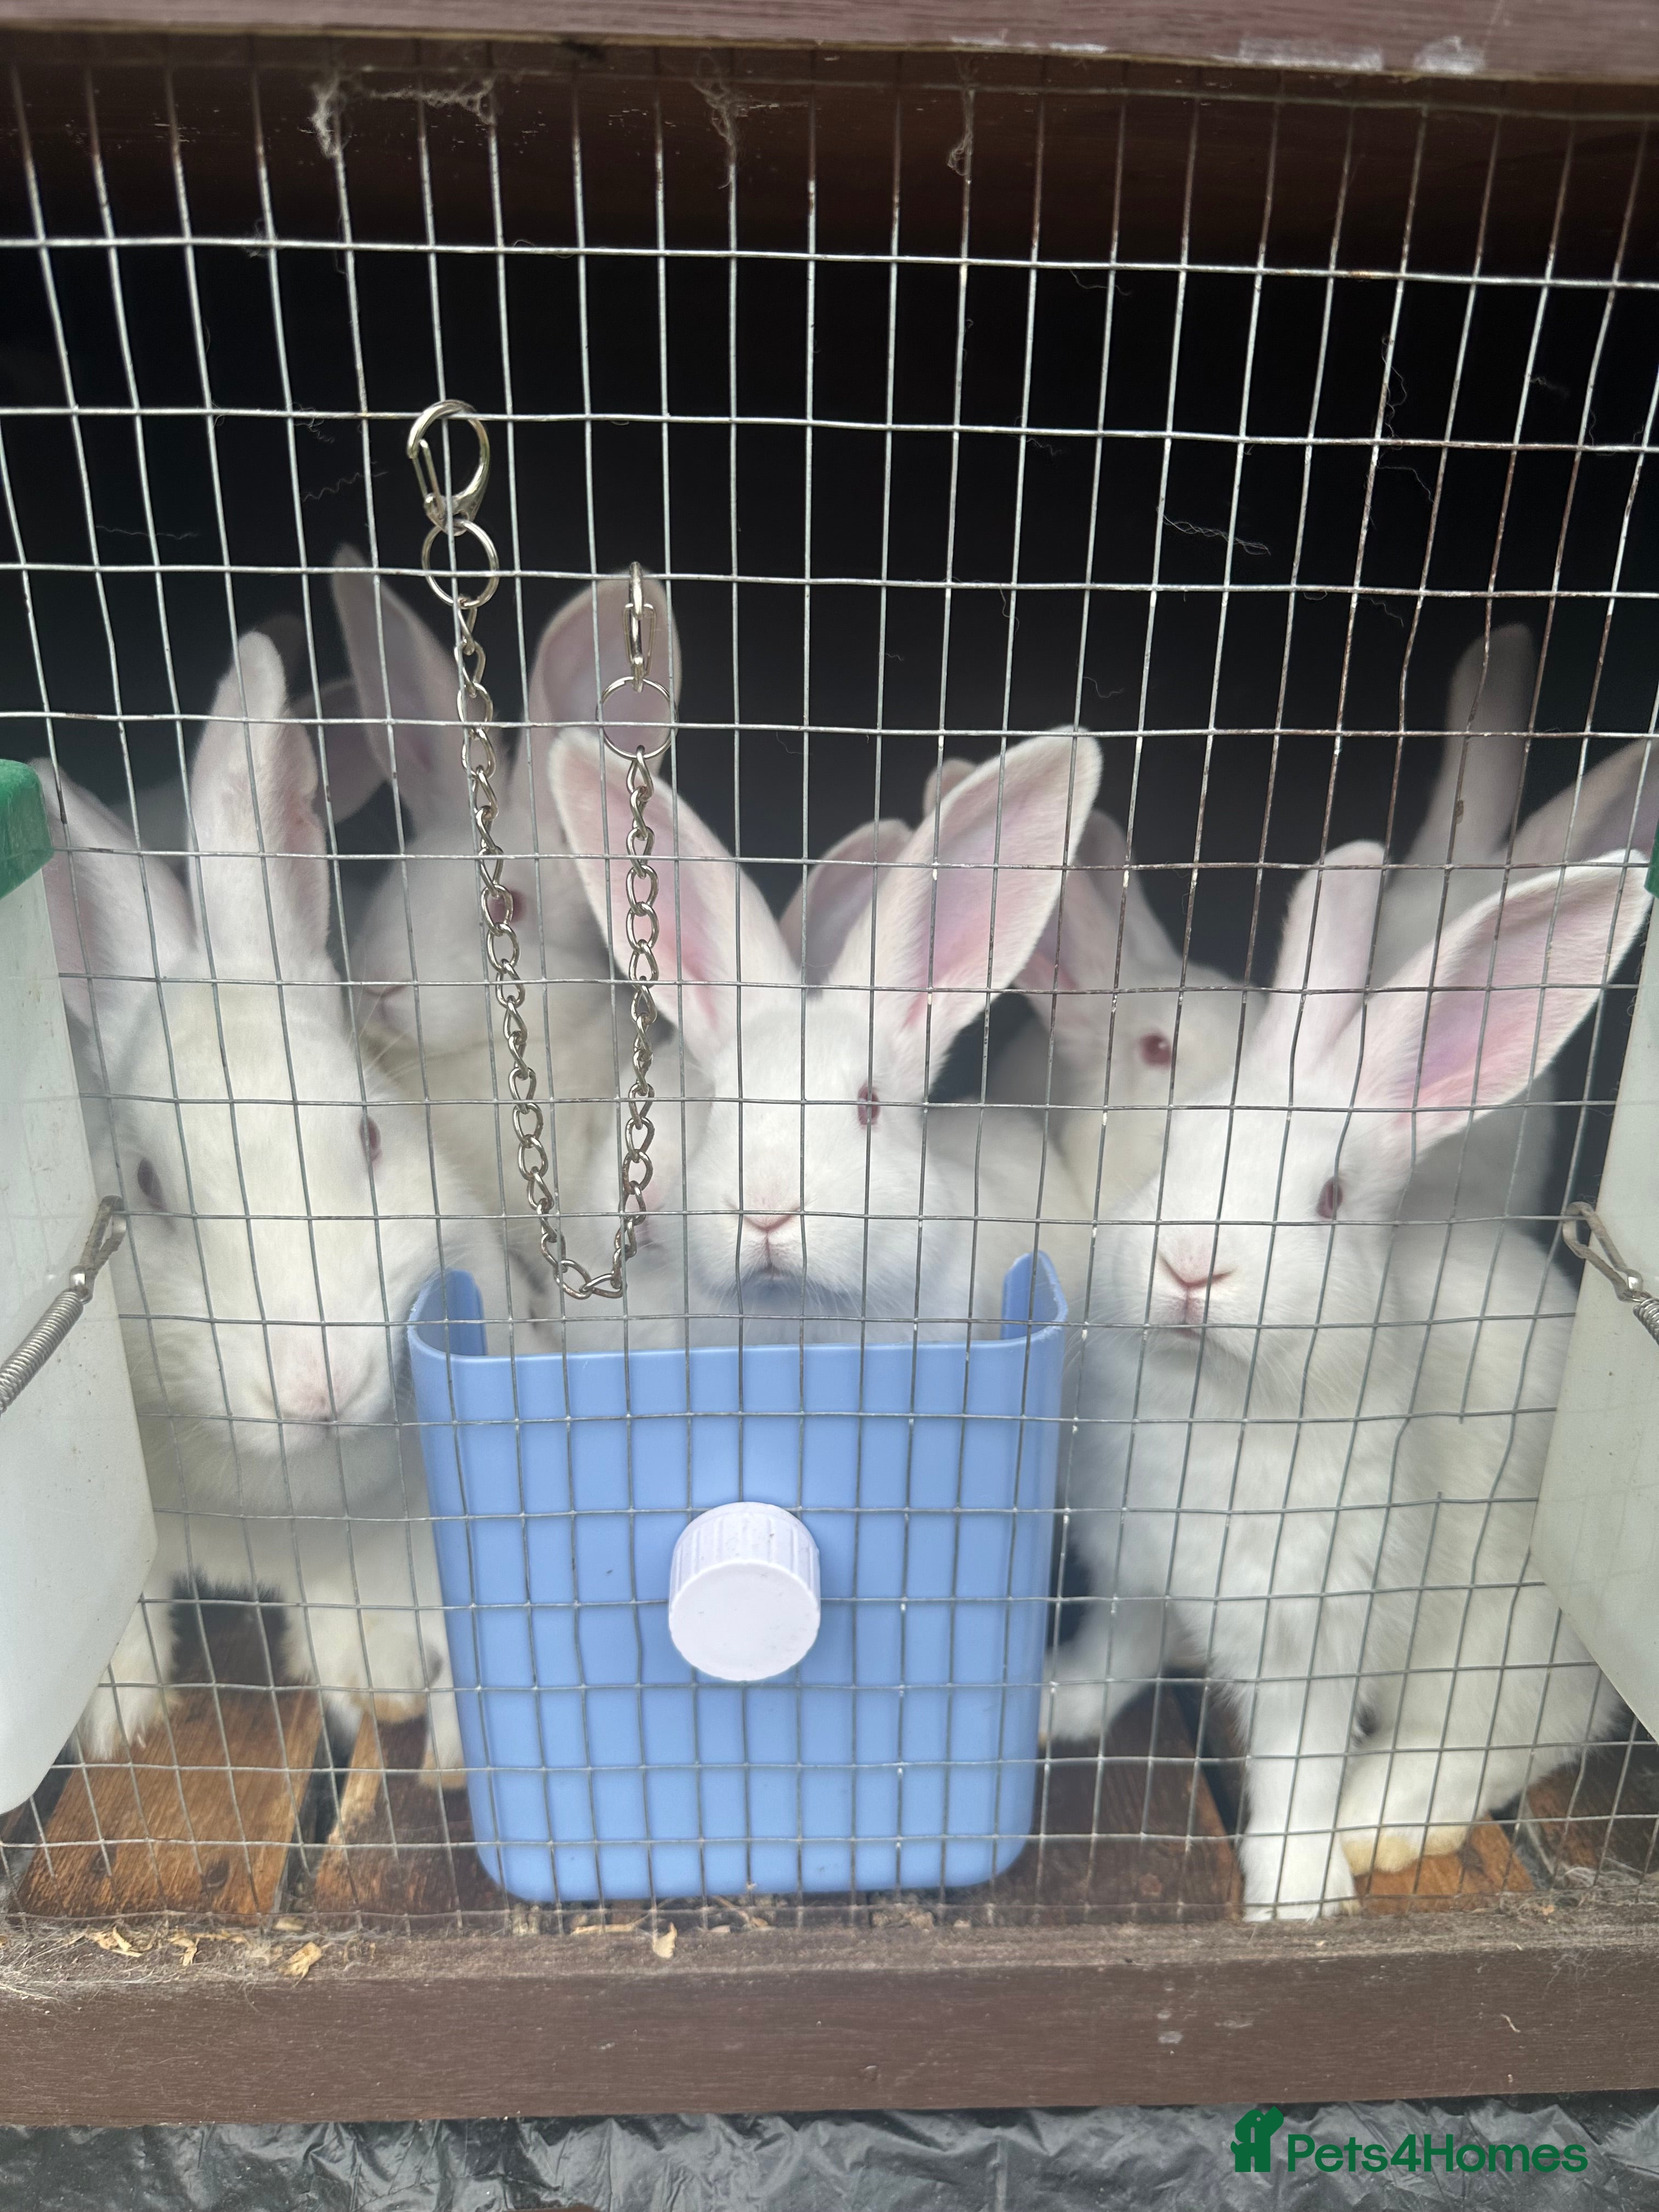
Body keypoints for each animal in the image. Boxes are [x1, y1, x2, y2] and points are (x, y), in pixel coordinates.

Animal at [1046, 837, 1649, 1916]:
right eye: (1174, 1154)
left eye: (1326, 1200)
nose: (1192, 1266)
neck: (1208, 1400)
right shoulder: (1133, 1571)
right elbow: (1115, 1650)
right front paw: (1054, 1705)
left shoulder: (1318, 1632)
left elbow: (1299, 1763)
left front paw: (1296, 1894)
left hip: (1505, 1645)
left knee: (1504, 1737)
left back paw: (1376, 1824)